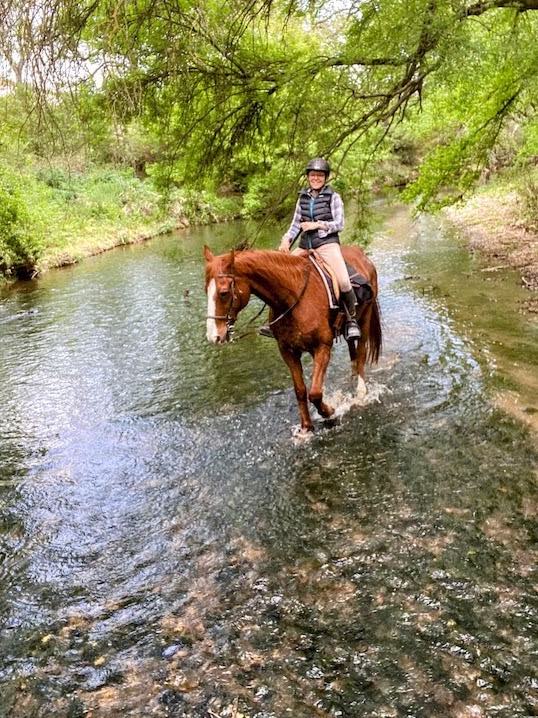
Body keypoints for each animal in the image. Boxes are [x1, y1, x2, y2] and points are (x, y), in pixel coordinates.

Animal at [203, 246, 382, 432]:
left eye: (224, 293)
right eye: (205, 290)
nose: (213, 336)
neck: (292, 299)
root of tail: (361, 254)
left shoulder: (323, 346)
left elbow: (315, 393)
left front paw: (330, 411)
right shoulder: (288, 351)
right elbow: (301, 390)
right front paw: (306, 428)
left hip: (364, 320)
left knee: (360, 353)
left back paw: (361, 392)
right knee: (352, 352)